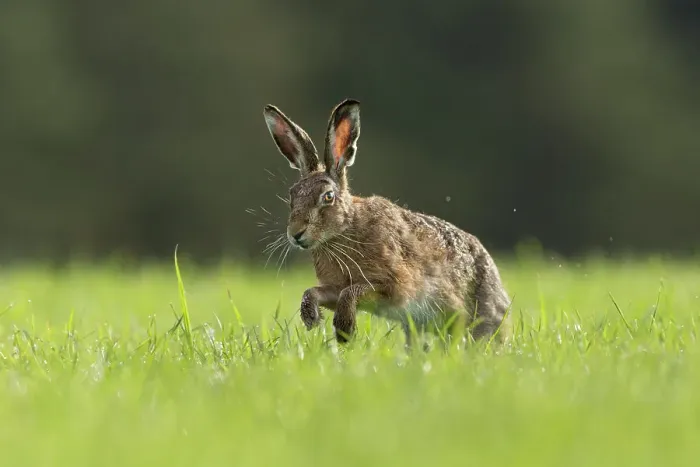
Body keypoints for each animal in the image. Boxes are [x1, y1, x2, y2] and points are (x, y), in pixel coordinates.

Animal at [262, 98, 511, 347]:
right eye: (292, 195)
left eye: (328, 196)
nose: (296, 233)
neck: (346, 228)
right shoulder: (334, 287)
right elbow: (314, 291)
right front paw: (312, 318)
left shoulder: (392, 286)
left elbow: (351, 292)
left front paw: (344, 330)